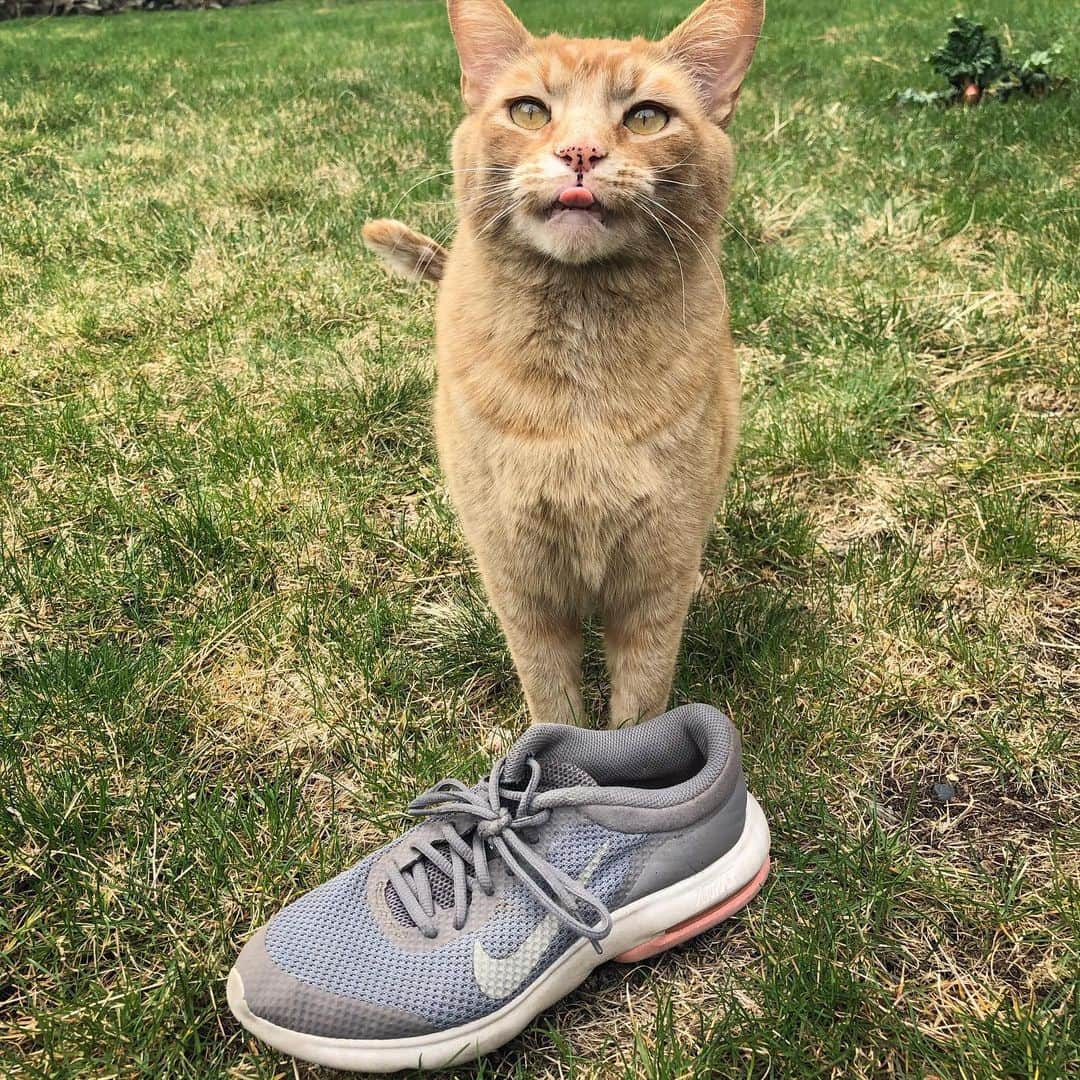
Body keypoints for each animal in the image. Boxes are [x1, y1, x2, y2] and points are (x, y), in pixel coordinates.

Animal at [367, 2, 764, 725]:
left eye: (646, 117)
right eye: (529, 111)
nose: (580, 152)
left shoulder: (653, 588)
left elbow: (639, 709)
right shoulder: (524, 588)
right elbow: (553, 702)